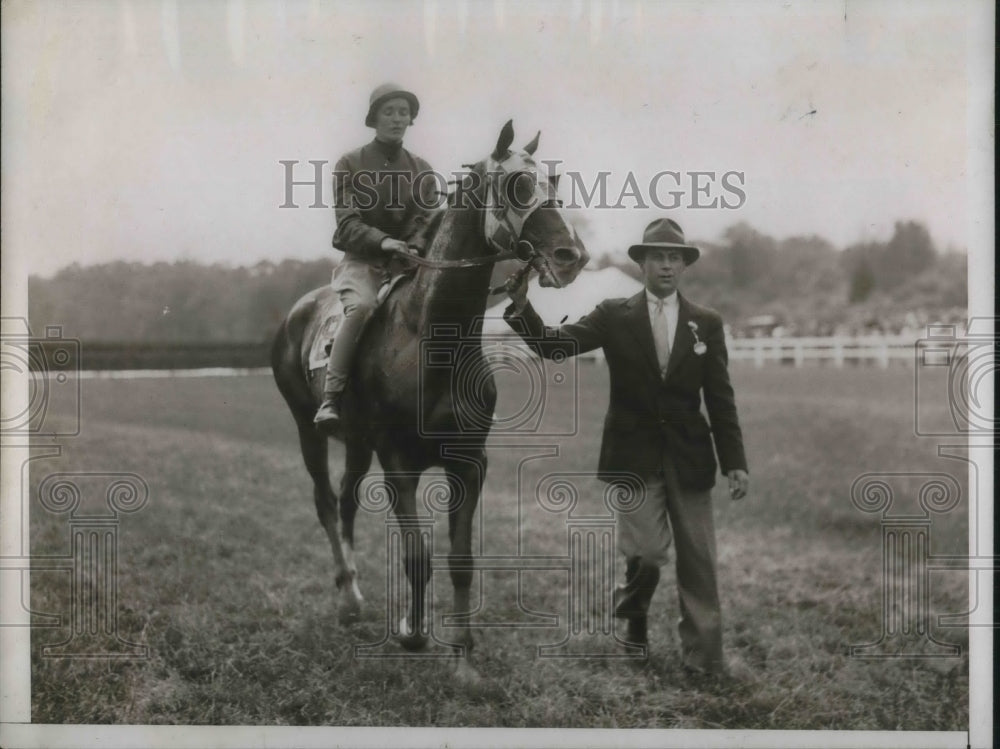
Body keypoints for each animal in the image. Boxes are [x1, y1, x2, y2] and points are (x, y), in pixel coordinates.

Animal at [270, 122, 588, 676]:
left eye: (554, 181)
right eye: (517, 186)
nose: (570, 257)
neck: (432, 338)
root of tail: (297, 312)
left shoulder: (468, 461)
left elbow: (460, 560)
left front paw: (463, 654)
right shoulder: (399, 461)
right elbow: (417, 555)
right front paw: (412, 633)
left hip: (358, 444)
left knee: (347, 500)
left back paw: (355, 595)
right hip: (308, 428)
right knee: (326, 502)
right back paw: (347, 599)